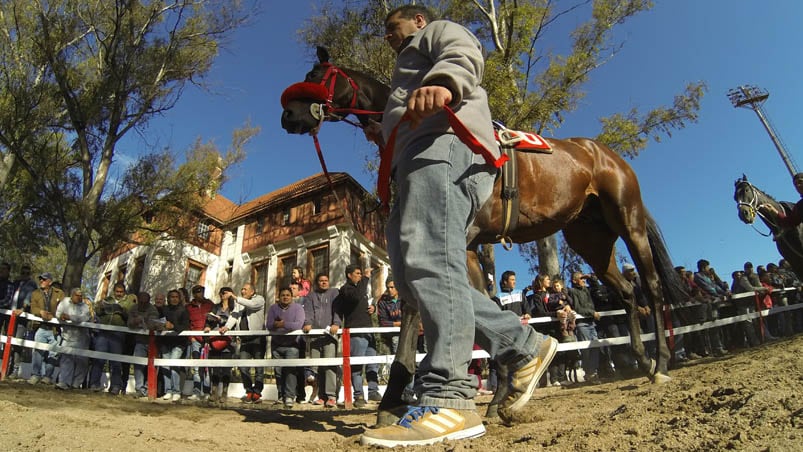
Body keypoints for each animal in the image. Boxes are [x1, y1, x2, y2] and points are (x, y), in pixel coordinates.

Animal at [282, 47, 684, 426]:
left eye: (314, 74)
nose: (289, 115)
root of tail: (605, 154)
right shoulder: (471, 248)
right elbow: (480, 303)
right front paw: (504, 390)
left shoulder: (451, 238)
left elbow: (421, 302)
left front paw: (393, 398)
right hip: (591, 240)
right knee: (628, 293)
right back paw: (643, 361)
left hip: (628, 222)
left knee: (651, 286)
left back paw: (662, 364)